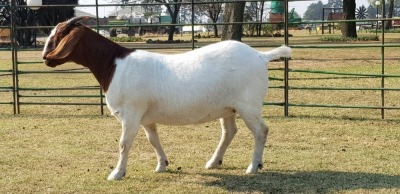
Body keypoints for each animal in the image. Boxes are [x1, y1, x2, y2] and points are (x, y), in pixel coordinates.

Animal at [42, 16, 292, 180]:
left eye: (59, 35)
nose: (46, 58)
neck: (113, 66)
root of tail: (260, 56)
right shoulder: (145, 117)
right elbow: (153, 139)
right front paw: (162, 164)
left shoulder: (131, 114)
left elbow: (124, 143)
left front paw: (116, 173)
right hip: (228, 107)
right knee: (229, 131)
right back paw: (213, 162)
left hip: (248, 105)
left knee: (261, 131)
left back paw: (253, 166)